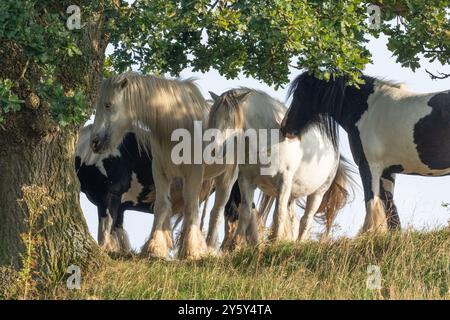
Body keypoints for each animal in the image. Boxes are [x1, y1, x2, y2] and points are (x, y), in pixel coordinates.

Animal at [89, 71, 241, 258]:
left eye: (108, 105)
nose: (94, 142)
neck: (177, 124)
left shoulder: (193, 174)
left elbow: (191, 207)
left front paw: (192, 250)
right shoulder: (160, 172)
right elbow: (162, 206)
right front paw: (155, 247)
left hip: (227, 179)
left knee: (217, 212)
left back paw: (210, 248)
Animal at [208, 87, 356, 245]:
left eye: (230, 119)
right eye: (214, 117)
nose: (214, 150)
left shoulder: (283, 181)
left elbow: (278, 214)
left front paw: (273, 243)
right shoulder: (246, 180)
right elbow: (246, 213)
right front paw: (235, 245)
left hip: (318, 193)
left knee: (306, 220)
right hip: (293, 194)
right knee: (295, 220)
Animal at [280, 71, 448, 232]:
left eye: (299, 94)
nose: (284, 127)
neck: (367, 109)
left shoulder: (369, 166)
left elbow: (371, 204)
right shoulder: (387, 172)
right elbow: (391, 214)